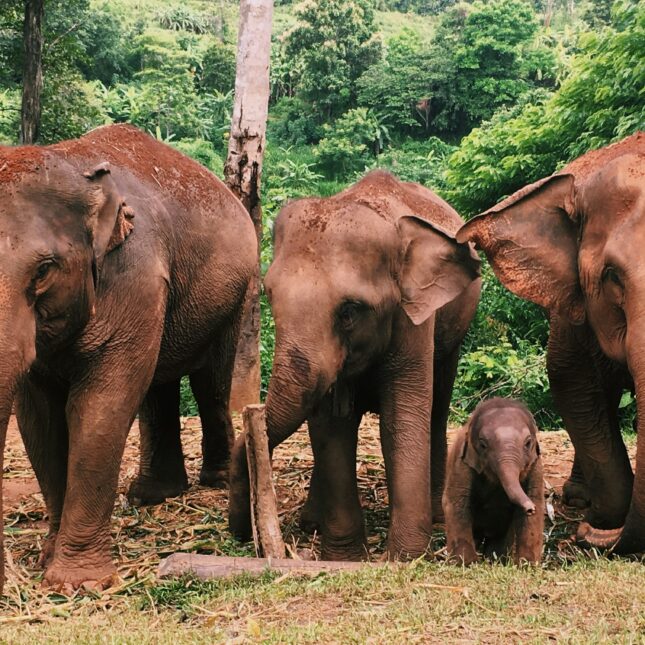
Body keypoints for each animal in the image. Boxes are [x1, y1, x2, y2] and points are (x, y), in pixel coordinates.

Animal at [0, 124, 257, 592]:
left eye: (44, 270)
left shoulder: (134, 274)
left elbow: (100, 404)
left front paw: (79, 583)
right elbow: (40, 418)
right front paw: (48, 561)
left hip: (237, 294)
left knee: (209, 382)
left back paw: (213, 480)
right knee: (158, 385)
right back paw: (151, 494)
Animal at [229, 170, 481, 561]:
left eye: (349, 311)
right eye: (270, 295)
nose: (240, 533)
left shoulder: (413, 321)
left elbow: (402, 419)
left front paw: (403, 558)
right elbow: (331, 425)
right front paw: (346, 559)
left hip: (454, 331)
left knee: (437, 408)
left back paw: (438, 515)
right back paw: (310, 523)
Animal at [443, 398, 544, 565]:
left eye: (528, 443)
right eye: (483, 444)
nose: (529, 508)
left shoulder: (536, 466)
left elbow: (536, 502)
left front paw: (526, 565)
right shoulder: (461, 463)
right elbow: (457, 503)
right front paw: (466, 564)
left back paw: (496, 560)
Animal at [457, 131, 645, 553]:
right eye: (612, 276)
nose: (582, 534)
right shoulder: (572, 306)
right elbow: (569, 380)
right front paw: (601, 517)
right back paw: (578, 497)